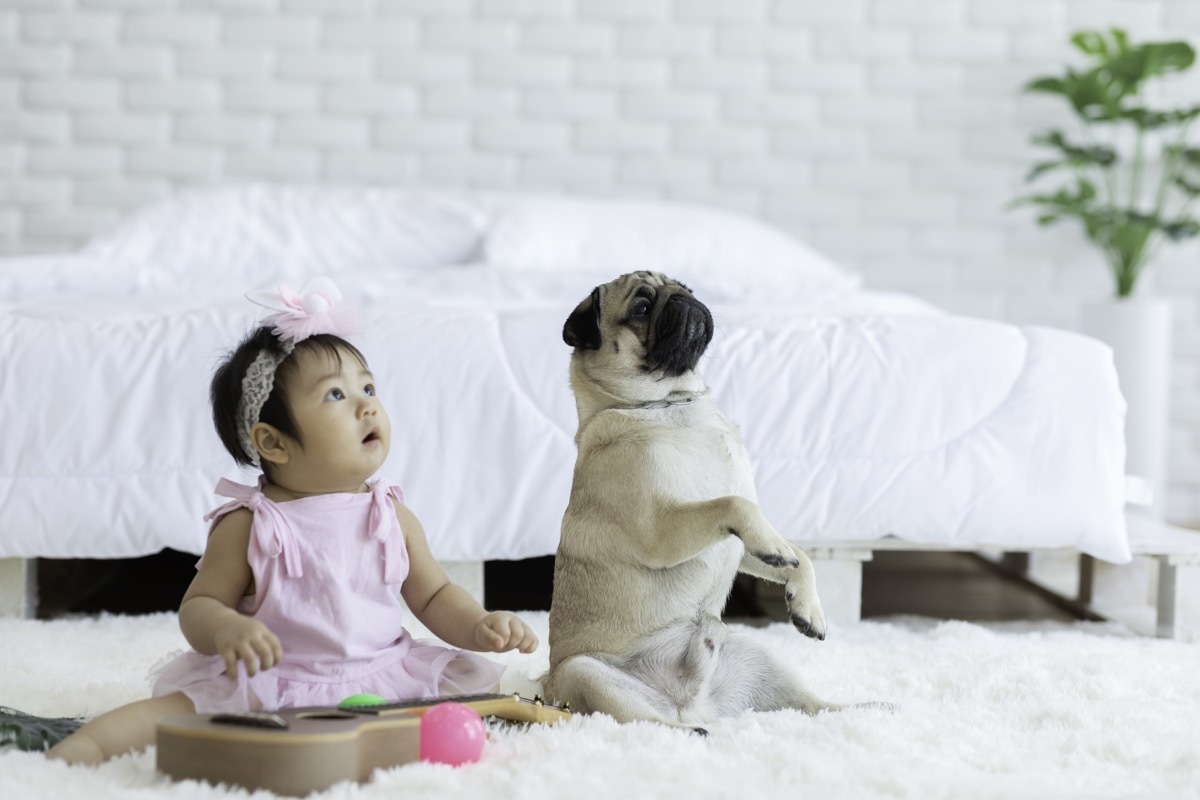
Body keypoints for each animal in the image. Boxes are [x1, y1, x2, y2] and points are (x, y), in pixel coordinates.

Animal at [547, 272, 840, 729]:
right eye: (642, 307)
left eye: (684, 286)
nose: (684, 299)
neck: (671, 405)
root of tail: (689, 703)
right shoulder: (661, 531)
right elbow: (735, 504)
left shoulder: (737, 543)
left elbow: (796, 554)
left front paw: (806, 603)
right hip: (584, 673)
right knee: (646, 723)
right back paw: (692, 733)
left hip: (760, 658)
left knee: (810, 706)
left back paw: (870, 708)